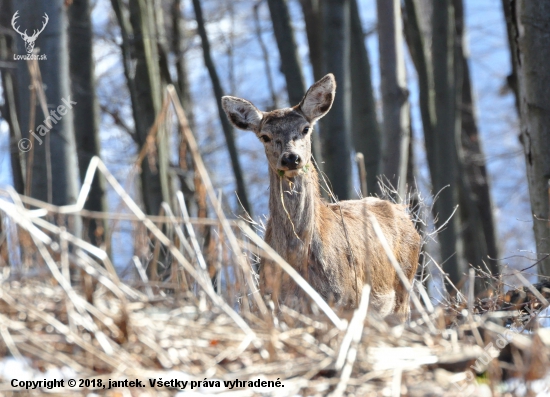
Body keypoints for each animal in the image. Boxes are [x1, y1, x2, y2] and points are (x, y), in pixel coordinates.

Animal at [222, 72, 420, 318]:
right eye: (265, 136)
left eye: (305, 128)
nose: (291, 158)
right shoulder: (273, 304)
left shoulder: (346, 302)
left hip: (403, 289)